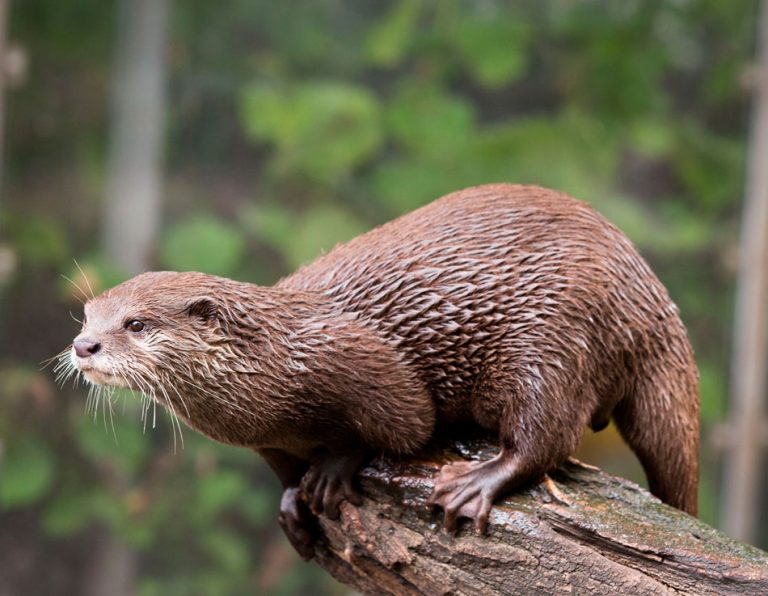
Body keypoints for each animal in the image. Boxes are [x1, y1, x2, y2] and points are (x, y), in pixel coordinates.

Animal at [67, 184, 704, 560]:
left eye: (136, 323)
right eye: (87, 312)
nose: (82, 346)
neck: (271, 373)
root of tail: (645, 289)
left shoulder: (361, 363)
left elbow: (405, 425)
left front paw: (332, 470)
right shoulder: (263, 438)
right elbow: (282, 469)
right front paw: (292, 504)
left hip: (549, 337)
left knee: (547, 434)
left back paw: (474, 483)